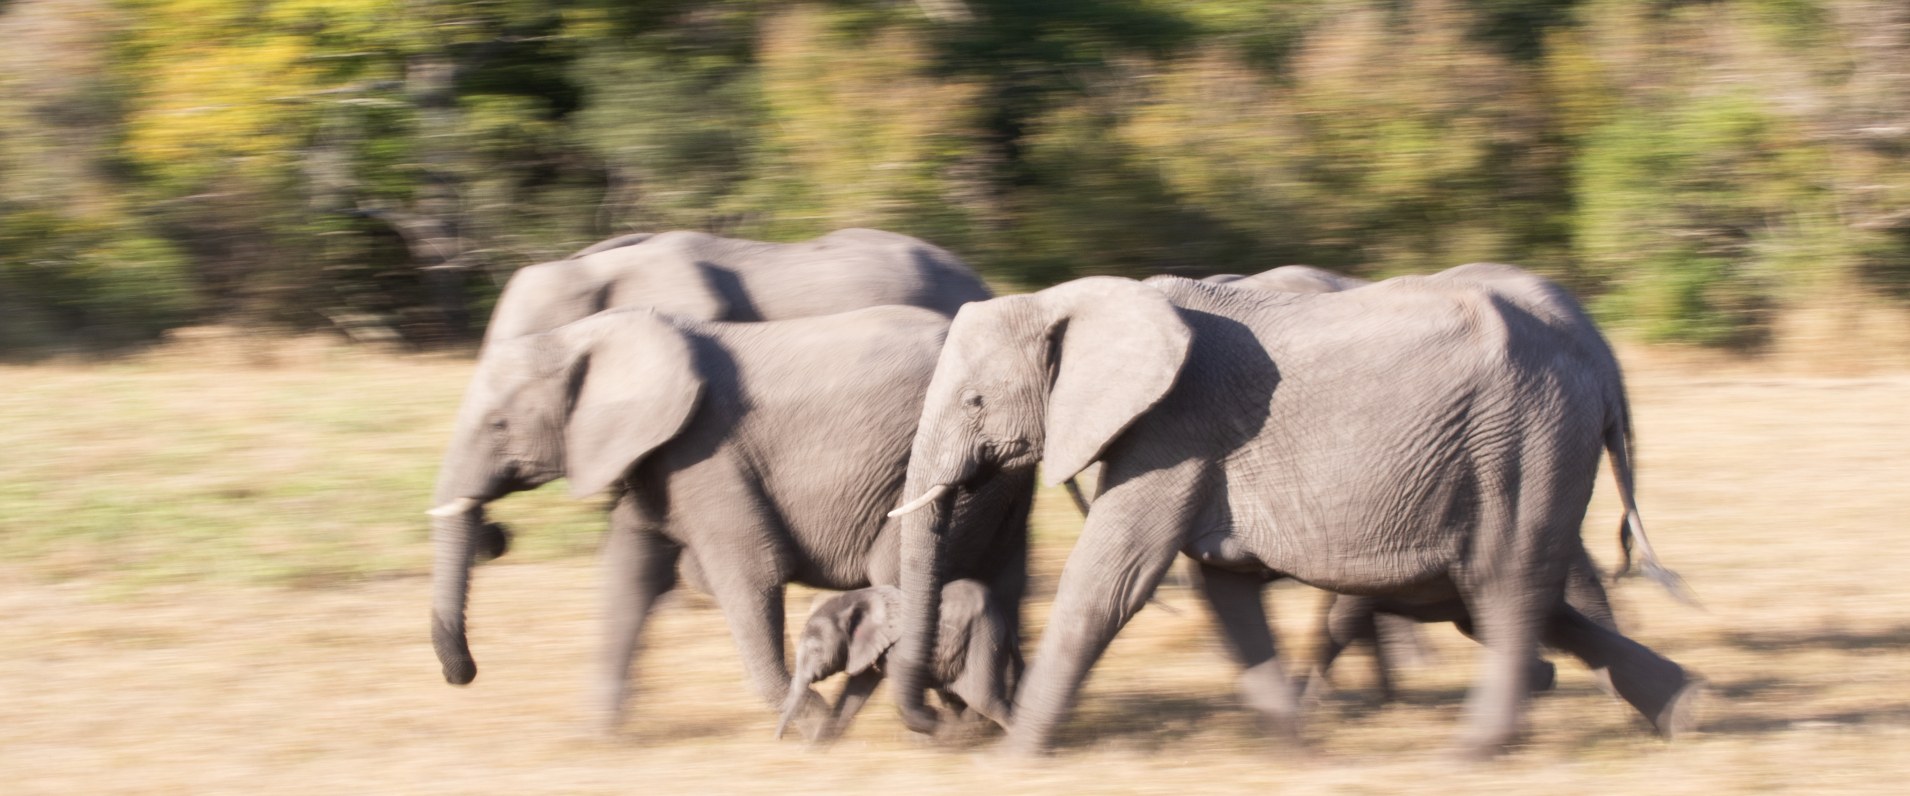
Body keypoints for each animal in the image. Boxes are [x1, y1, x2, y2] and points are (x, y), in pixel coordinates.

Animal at [776, 580, 1020, 742]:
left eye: (816, 650)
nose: (779, 739)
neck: (855, 598)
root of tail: (1002, 613)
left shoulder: (899, 649)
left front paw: (941, 725)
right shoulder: (868, 648)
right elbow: (854, 693)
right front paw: (820, 747)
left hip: (983, 636)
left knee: (984, 699)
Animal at [887, 275, 1702, 758]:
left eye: (976, 401)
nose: (946, 724)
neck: (1069, 298)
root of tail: (1600, 356)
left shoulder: (1173, 426)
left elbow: (1111, 579)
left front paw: (1013, 759)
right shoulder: (1196, 448)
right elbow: (1223, 587)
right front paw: (1298, 747)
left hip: (1524, 440)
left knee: (1504, 585)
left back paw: (1471, 752)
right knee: (1501, 594)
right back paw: (1683, 710)